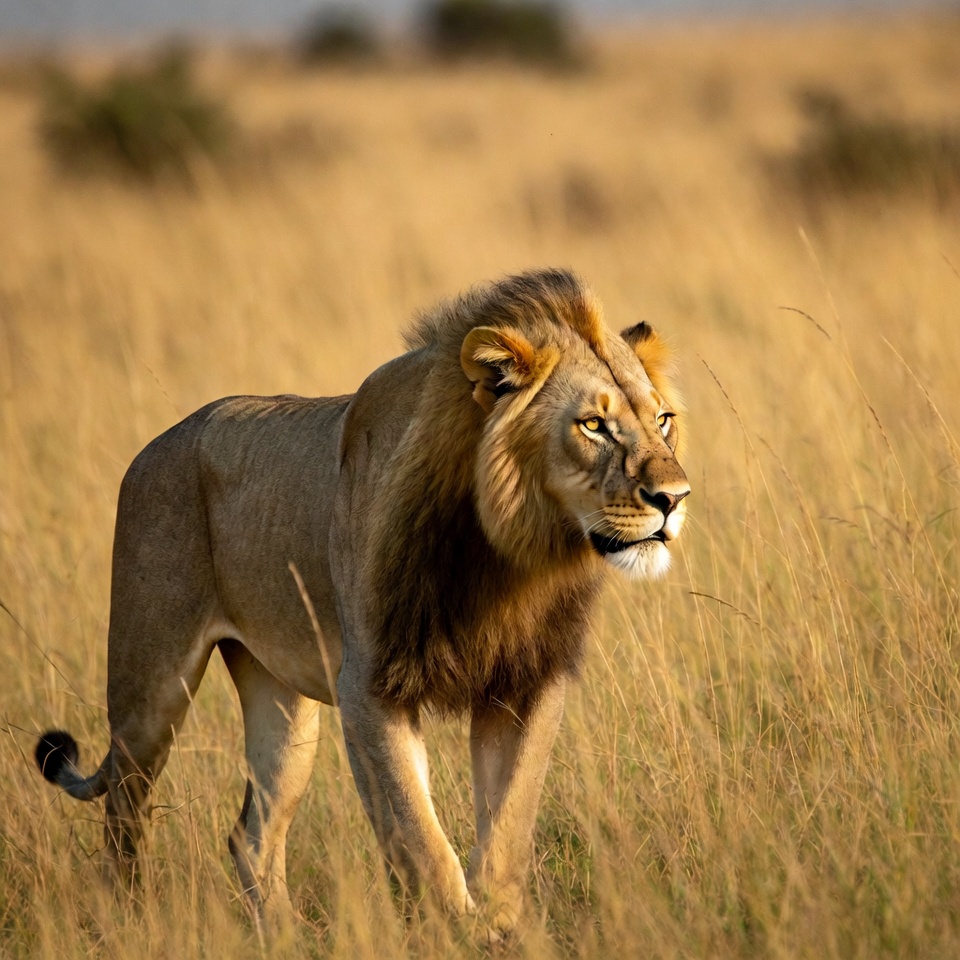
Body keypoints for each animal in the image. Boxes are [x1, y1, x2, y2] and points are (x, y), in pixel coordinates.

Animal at [35, 268, 689, 936]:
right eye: (593, 425)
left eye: (662, 420)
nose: (674, 498)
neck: (507, 552)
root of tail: (156, 444)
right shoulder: (369, 687)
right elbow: (418, 835)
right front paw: (450, 928)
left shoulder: (527, 680)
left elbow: (508, 825)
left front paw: (498, 923)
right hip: (152, 686)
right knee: (124, 809)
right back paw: (129, 918)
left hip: (282, 705)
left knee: (252, 835)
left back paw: (285, 939)